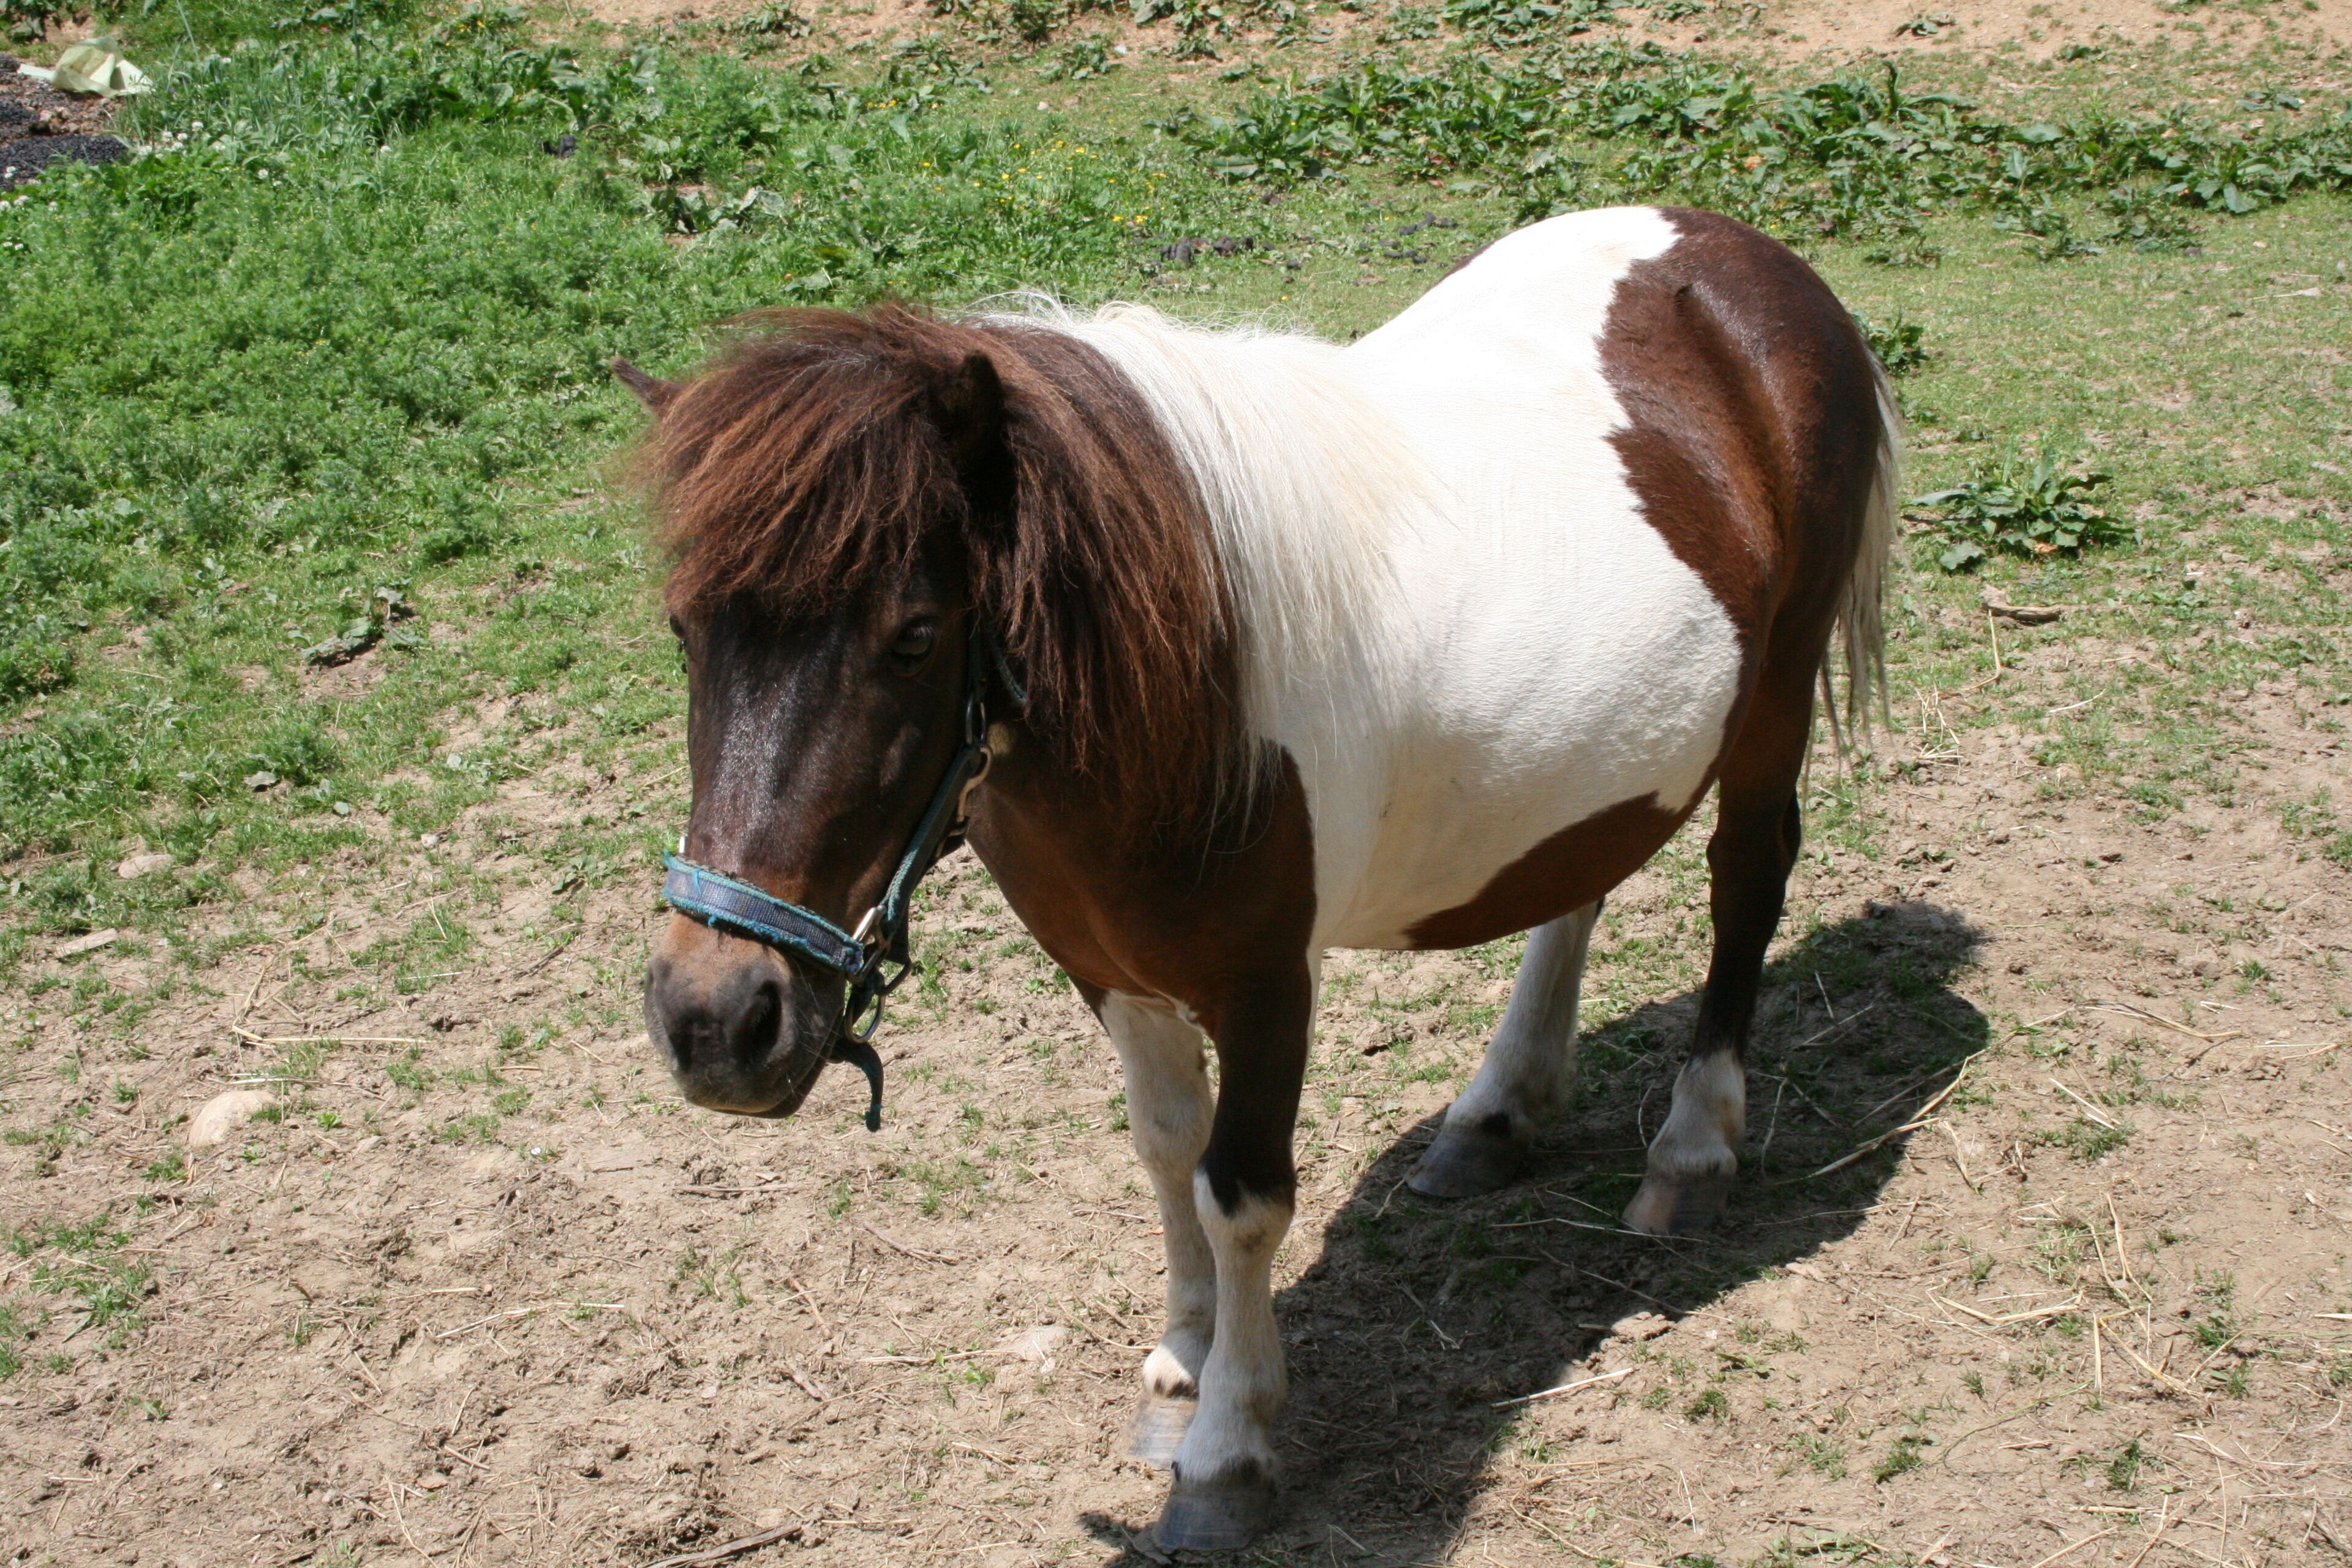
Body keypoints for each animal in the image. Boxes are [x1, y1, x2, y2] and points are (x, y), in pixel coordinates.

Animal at [624, 204, 1895, 1551]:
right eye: (685, 630)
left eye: (913, 636)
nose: (718, 1020)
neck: (1188, 675)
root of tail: (1742, 254)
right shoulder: (1108, 966)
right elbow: (1162, 1145)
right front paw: (1186, 1351)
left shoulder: (1269, 980)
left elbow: (1242, 1194)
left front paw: (1228, 1446)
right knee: (1581, 878)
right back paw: (1498, 1111)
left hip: (1771, 706)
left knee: (1746, 878)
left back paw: (1692, 1153)